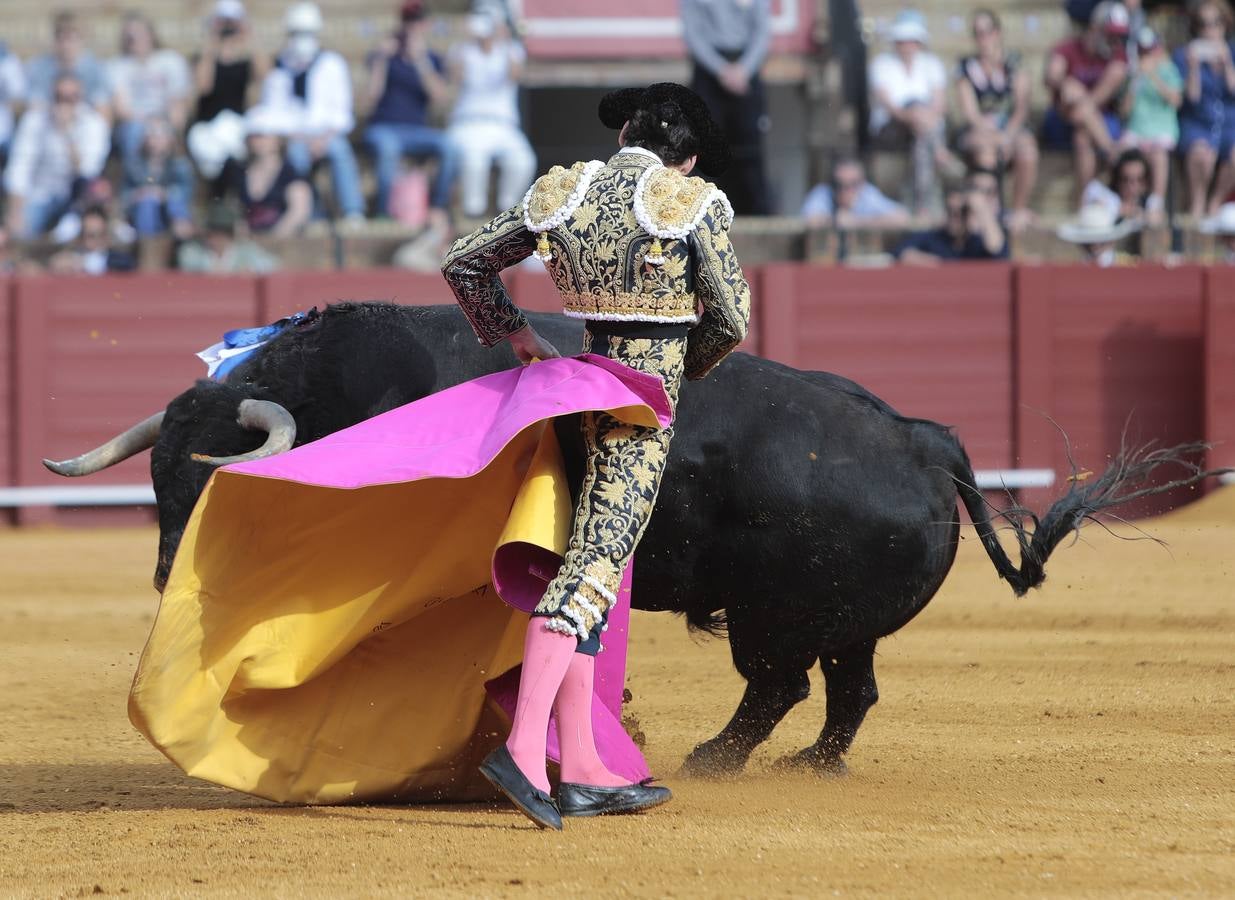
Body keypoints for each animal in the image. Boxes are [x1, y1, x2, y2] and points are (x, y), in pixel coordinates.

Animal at [45, 304, 1215, 775]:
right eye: (156, 486)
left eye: (216, 491)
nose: (169, 575)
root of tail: (918, 437)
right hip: (835, 621)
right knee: (846, 694)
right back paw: (801, 768)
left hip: (776, 619)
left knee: (779, 687)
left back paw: (713, 760)